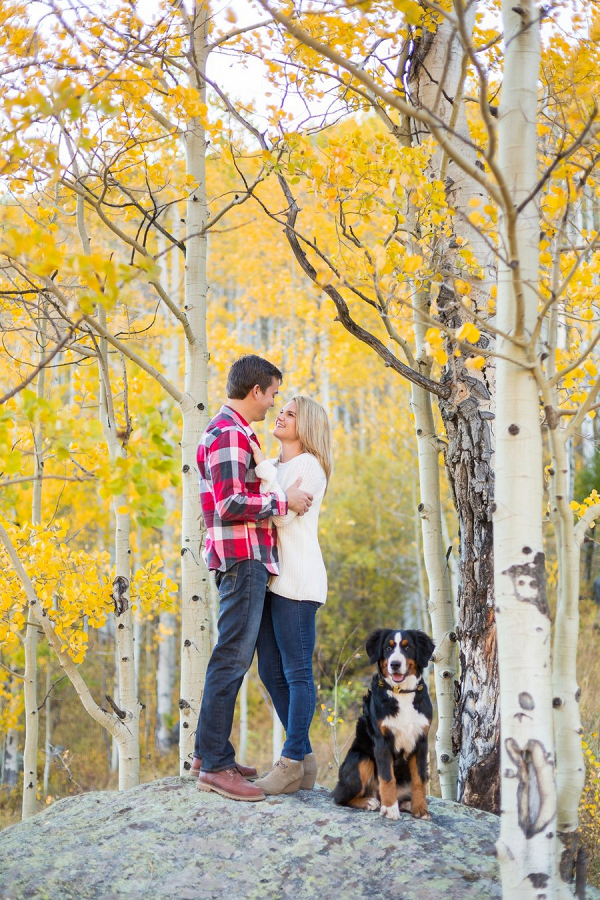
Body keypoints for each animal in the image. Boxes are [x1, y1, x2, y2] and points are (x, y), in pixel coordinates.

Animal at [332, 628, 436, 820]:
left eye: (407, 647)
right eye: (388, 648)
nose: (395, 664)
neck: (402, 693)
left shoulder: (421, 740)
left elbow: (420, 779)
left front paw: (420, 808)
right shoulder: (382, 740)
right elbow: (387, 777)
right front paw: (389, 808)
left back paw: (407, 803)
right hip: (362, 758)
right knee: (340, 796)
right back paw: (369, 802)